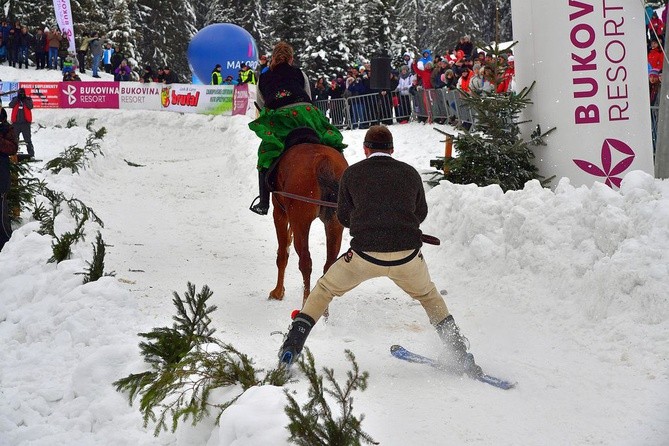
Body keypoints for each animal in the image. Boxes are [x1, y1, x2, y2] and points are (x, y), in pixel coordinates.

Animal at [268, 141, 350, 304]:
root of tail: (323, 161)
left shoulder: (280, 213)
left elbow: (282, 254)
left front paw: (278, 292)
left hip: (301, 221)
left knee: (305, 262)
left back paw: (305, 302)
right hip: (334, 223)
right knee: (328, 264)